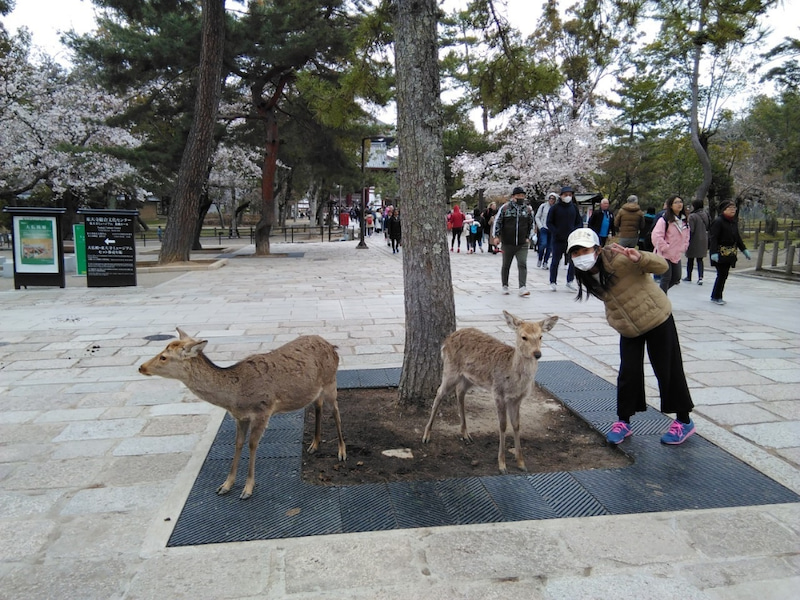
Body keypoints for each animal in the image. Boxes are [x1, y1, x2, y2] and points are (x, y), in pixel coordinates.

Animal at [139, 328, 346, 496]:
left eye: (164, 357)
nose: (141, 367)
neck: (235, 397)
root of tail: (332, 347)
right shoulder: (240, 417)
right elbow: (238, 444)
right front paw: (225, 485)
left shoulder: (263, 410)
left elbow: (252, 445)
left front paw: (247, 489)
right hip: (315, 390)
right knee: (318, 405)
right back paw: (314, 444)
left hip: (330, 381)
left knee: (336, 410)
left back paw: (342, 451)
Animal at [422, 314, 560, 474]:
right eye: (523, 337)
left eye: (541, 336)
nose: (537, 354)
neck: (514, 380)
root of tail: (446, 340)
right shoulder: (498, 393)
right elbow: (503, 425)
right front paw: (502, 465)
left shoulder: (517, 399)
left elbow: (517, 425)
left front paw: (521, 463)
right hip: (450, 370)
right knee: (439, 393)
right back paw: (426, 435)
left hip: (469, 378)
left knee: (459, 392)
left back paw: (465, 434)